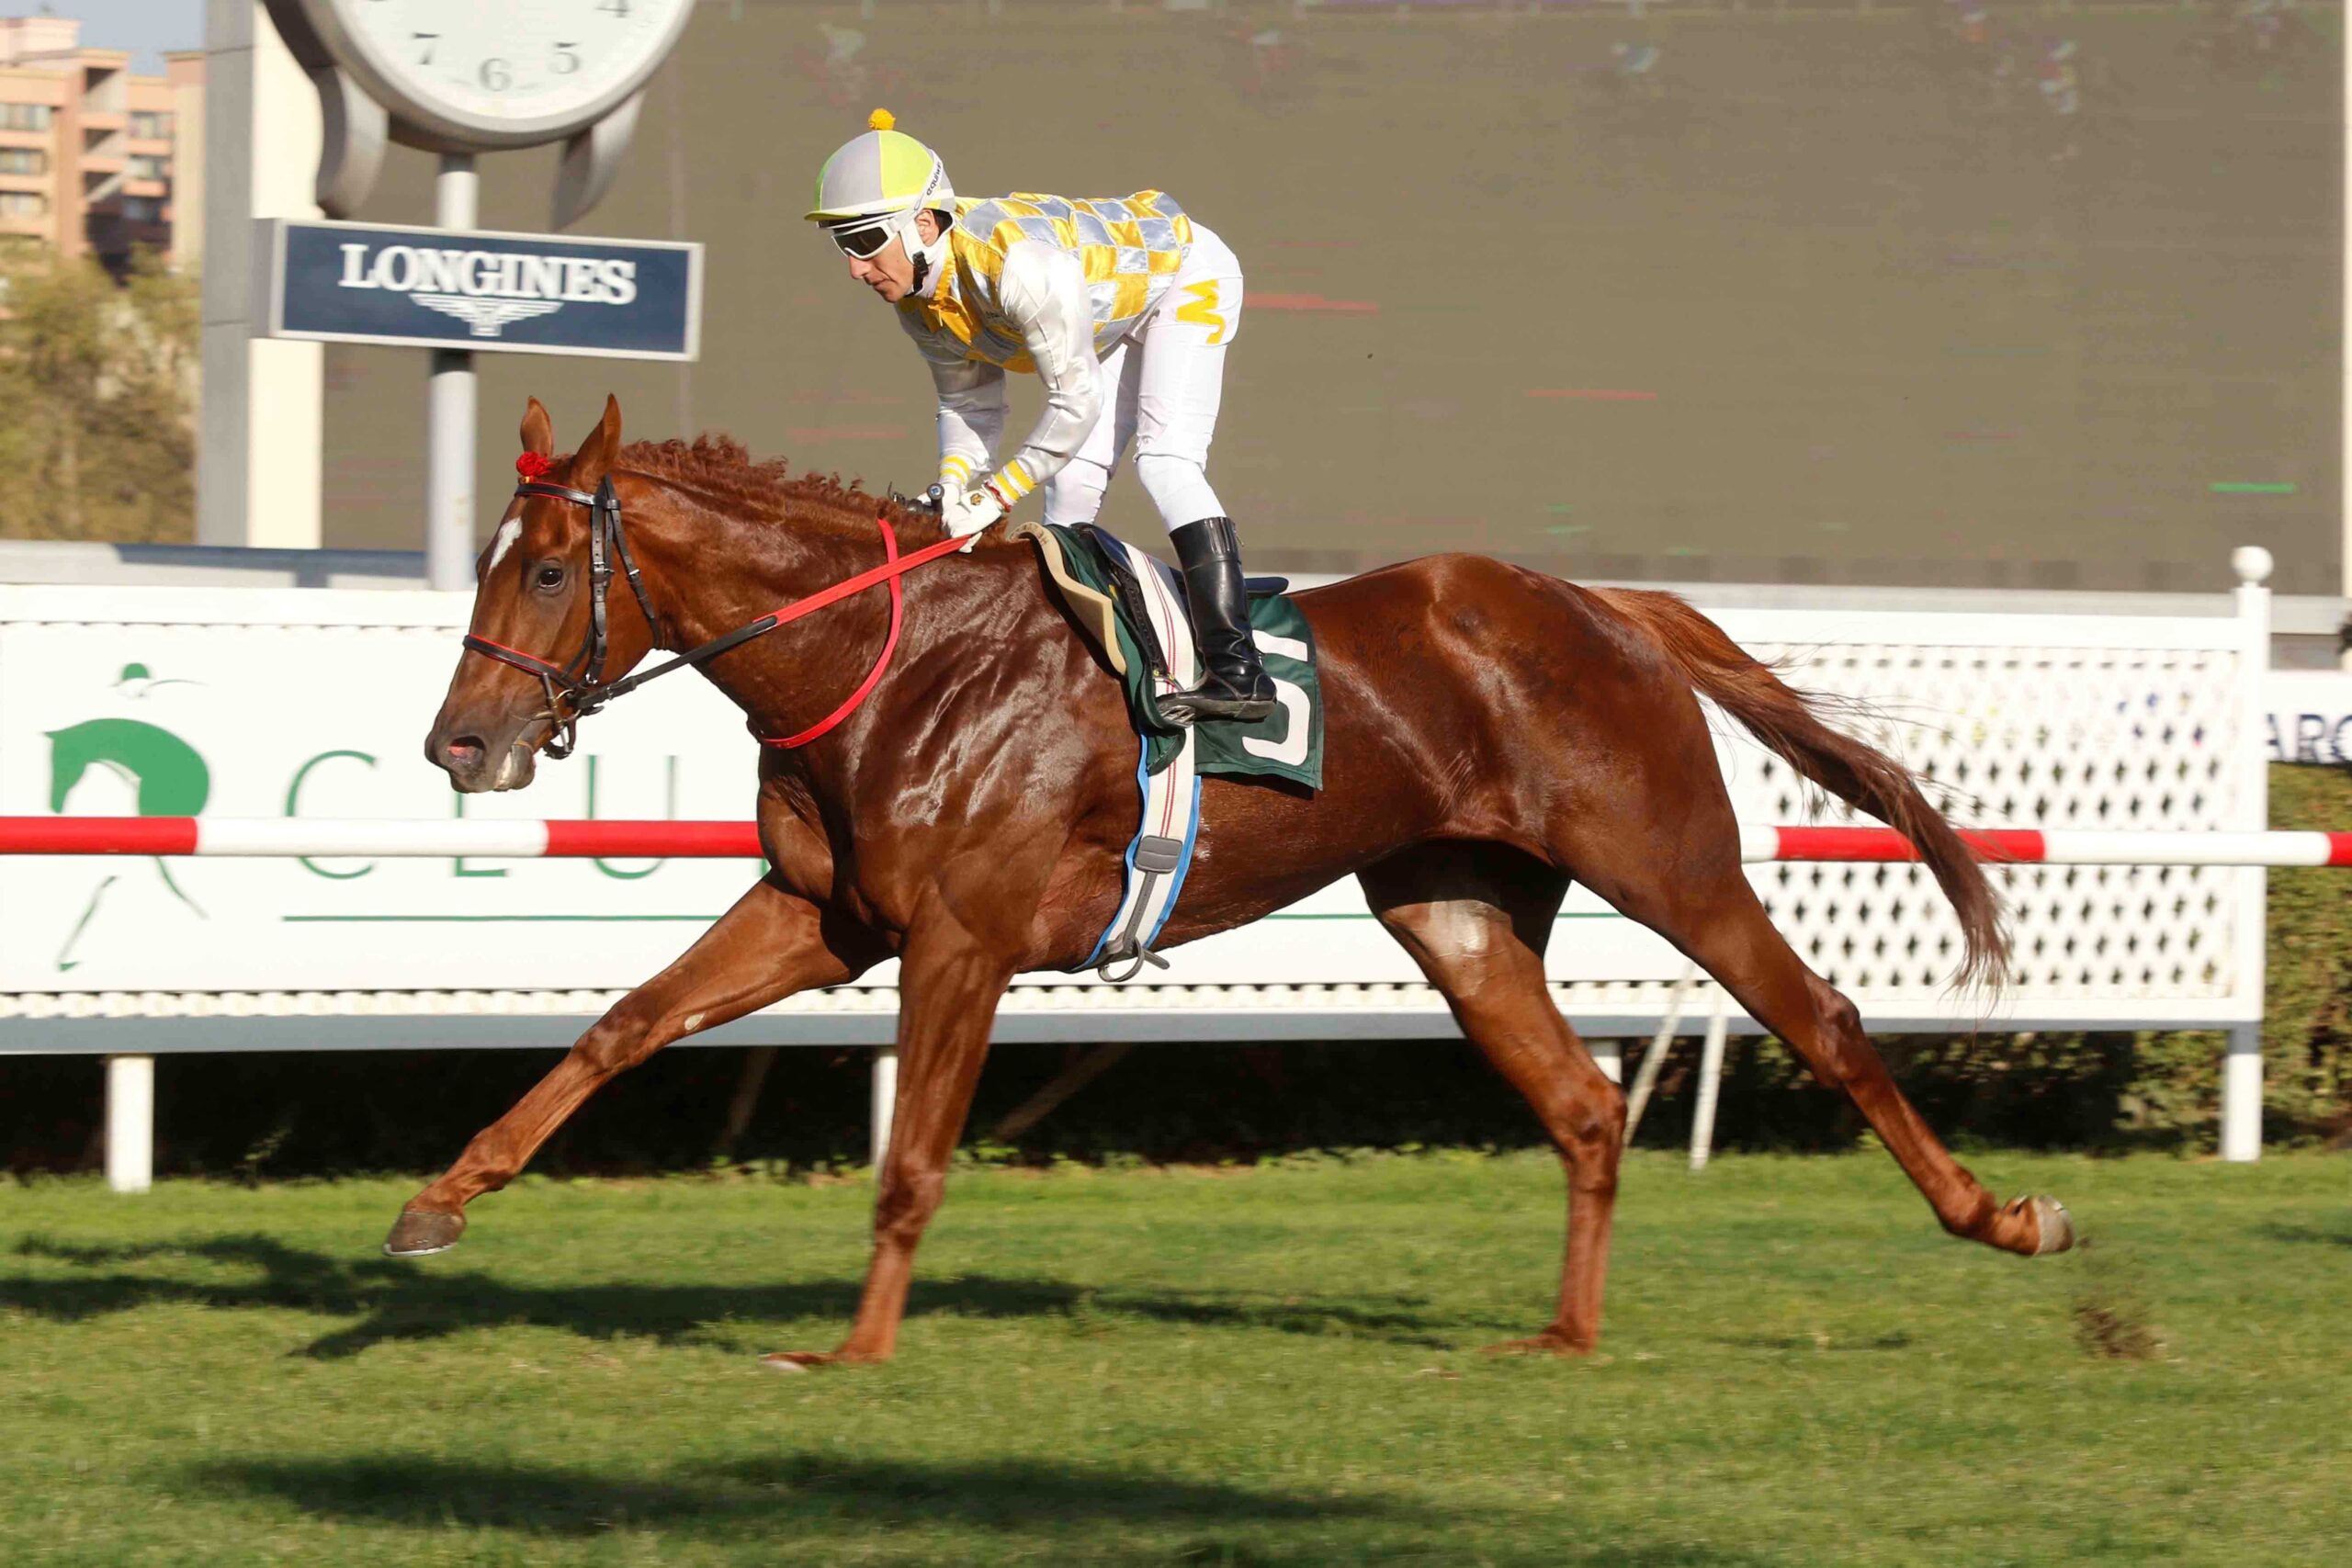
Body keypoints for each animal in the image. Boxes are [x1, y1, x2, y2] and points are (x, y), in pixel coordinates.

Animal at [392, 394, 2073, 1370]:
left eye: (548, 567)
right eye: (486, 559)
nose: (457, 740)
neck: (892, 660)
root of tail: (1605, 605)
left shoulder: (960, 937)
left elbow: (913, 1158)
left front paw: (858, 1351)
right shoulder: (823, 917)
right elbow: (621, 1023)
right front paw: (438, 1201)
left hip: (1669, 862)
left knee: (1827, 1018)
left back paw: (2005, 1218)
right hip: (1454, 910)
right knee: (1588, 1103)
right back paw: (1566, 1330)